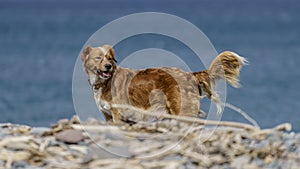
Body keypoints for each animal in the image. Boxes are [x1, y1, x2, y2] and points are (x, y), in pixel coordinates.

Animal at [80, 45, 246, 123]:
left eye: (109, 58)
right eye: (98, 58)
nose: (108, 66)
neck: (105, 82)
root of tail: (189, 74)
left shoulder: (118, 115)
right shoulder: (108, 116)